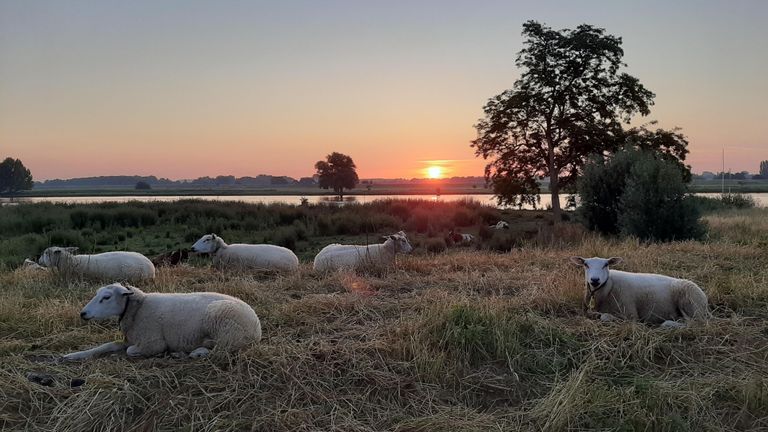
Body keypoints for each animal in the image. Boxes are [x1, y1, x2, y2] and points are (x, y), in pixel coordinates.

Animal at [63, 284, 260, 362]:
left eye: (106, 297)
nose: (83, 313)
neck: (138, 307)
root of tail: (257, 328)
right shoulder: (130, 338)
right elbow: (106, 345)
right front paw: (73, 355)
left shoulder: (153, 342)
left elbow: (130, 350)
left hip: (225, 329)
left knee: (221, 351)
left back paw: (192, 353)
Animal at [568, 256, 708, 328]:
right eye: (586, 264)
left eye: (606, 264)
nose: (595, 280)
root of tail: (704, 298)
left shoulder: (631, 315)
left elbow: (605, 317)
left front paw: (603, 316)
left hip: (691, 303)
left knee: (695, 323)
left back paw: (668, 324)